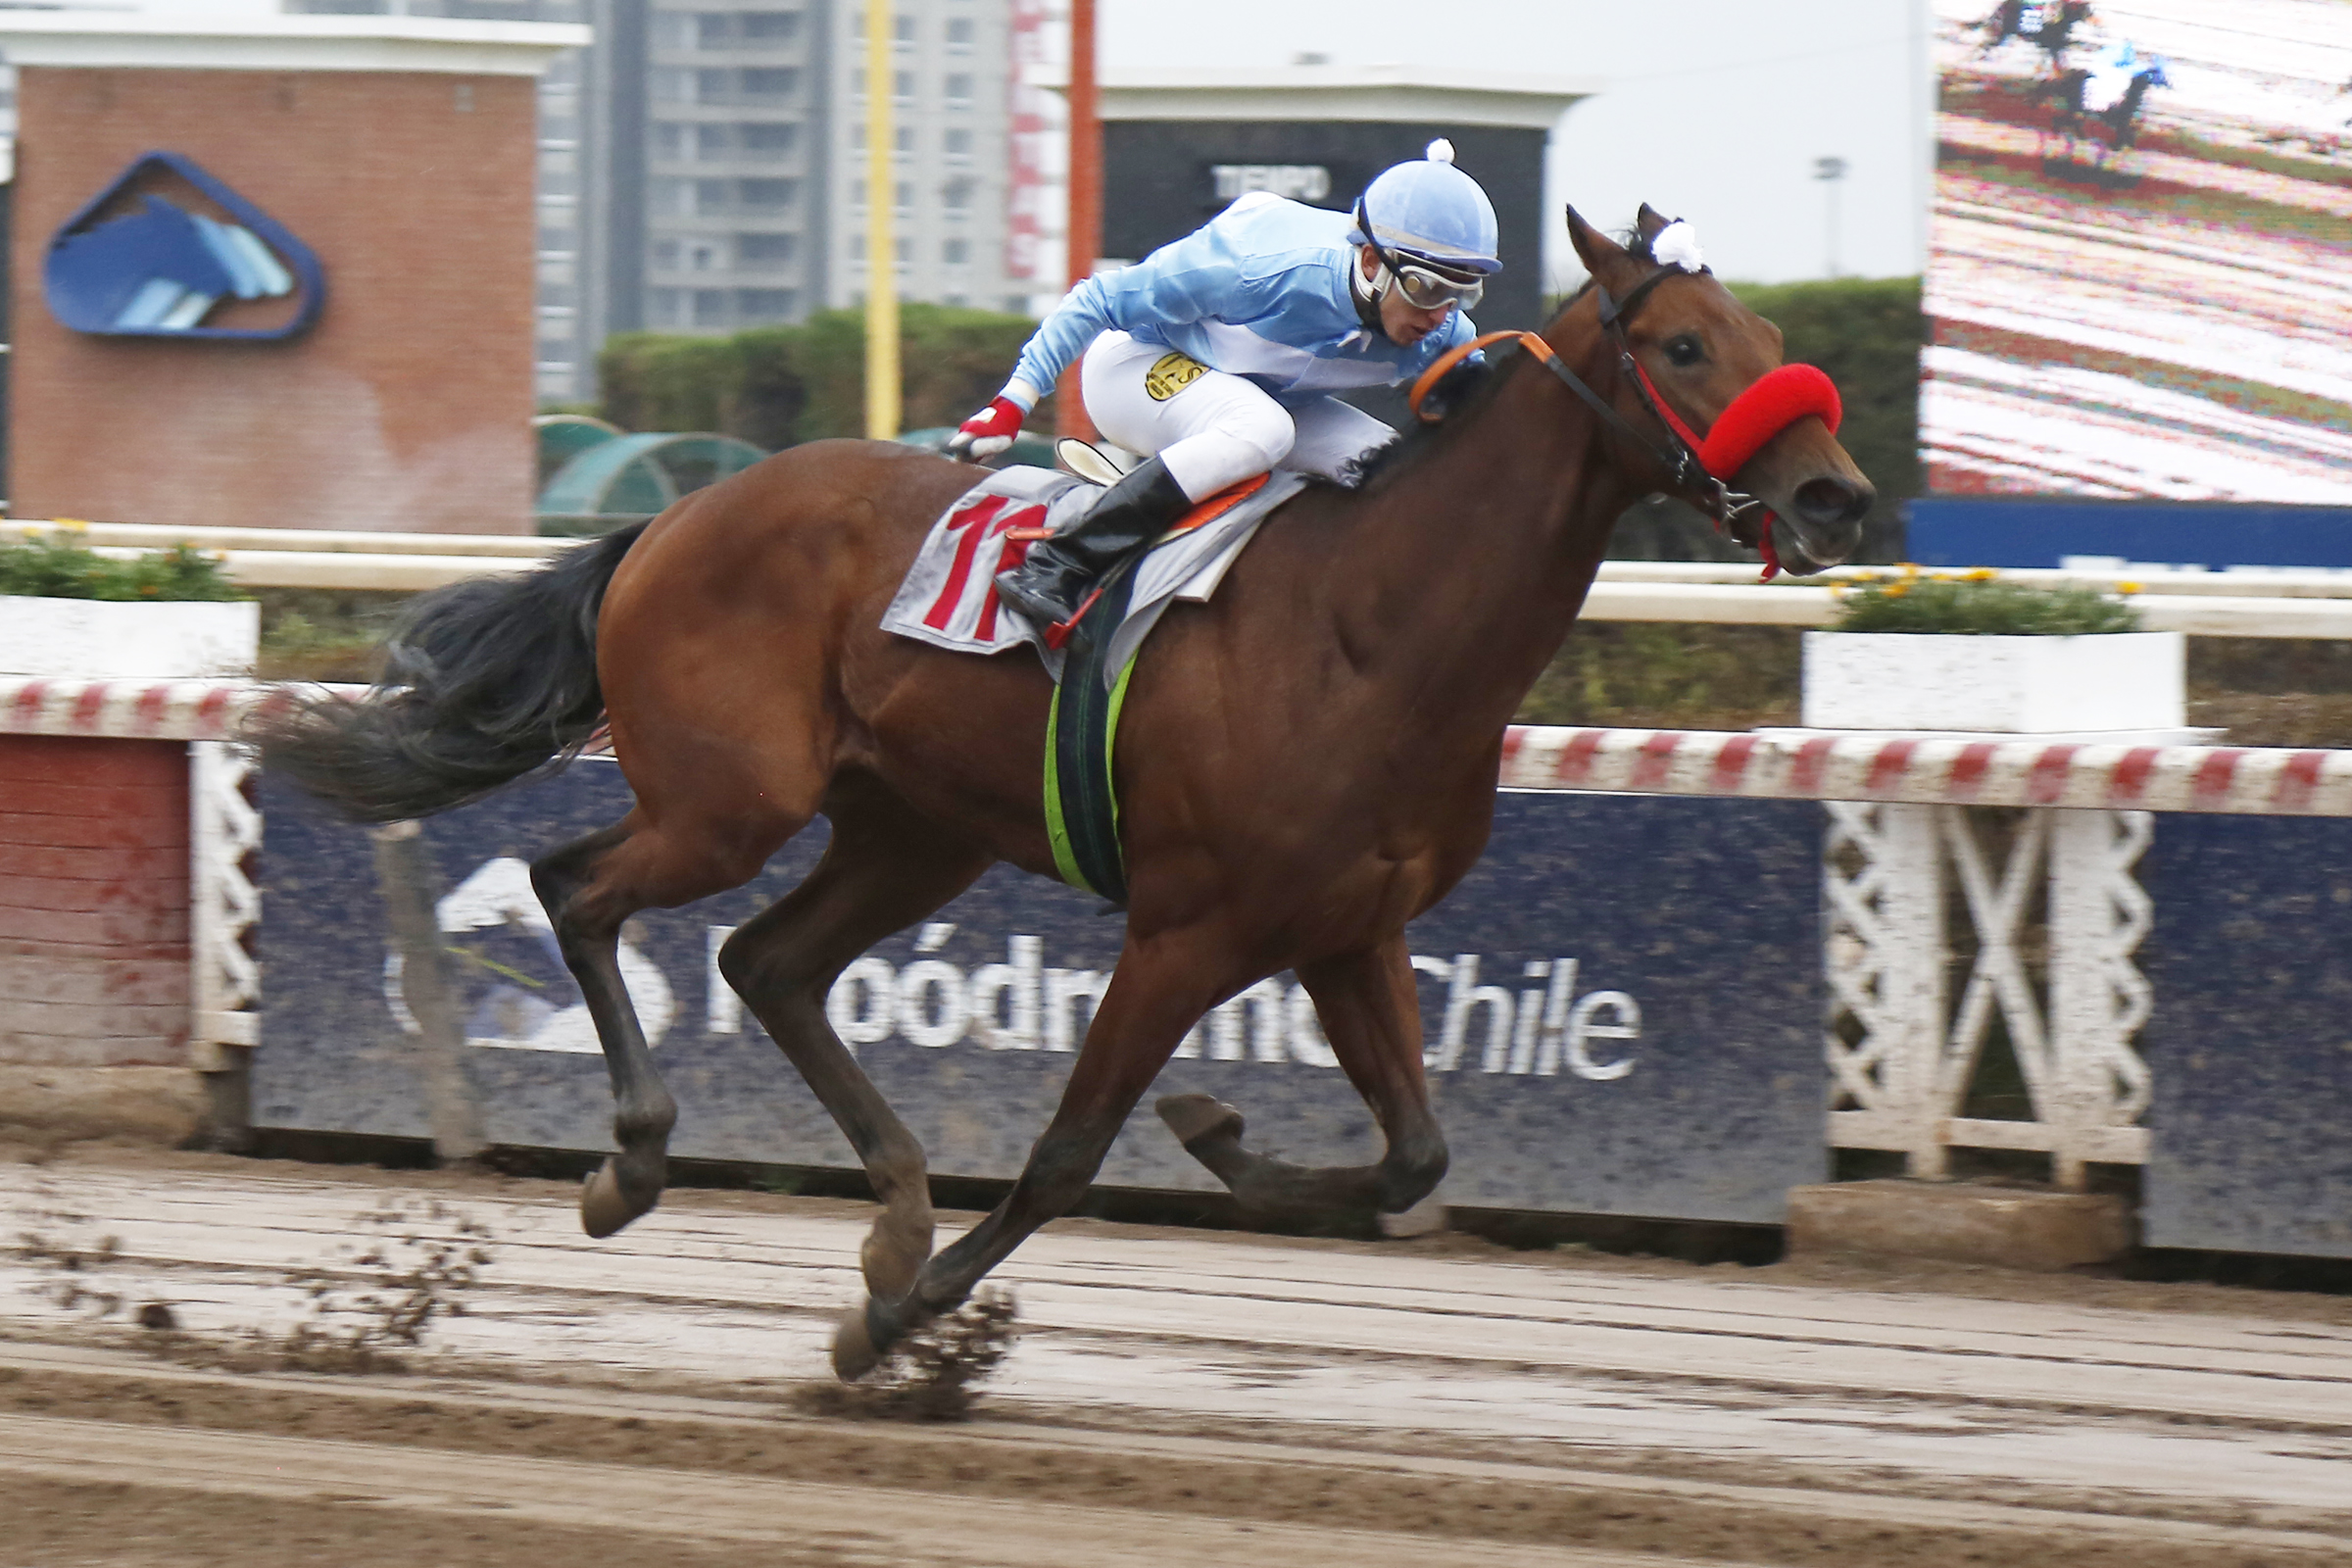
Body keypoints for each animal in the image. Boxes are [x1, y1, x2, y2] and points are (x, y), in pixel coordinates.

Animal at [256, 205, 1873, 1381]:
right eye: (1683, 343)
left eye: (1772, 334)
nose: (1836, 498)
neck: (1372, 629)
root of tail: (674, 514)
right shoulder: (1186, 930)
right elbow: (1067, 1154)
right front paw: (895, 1326)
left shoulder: (1350, 928)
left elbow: (1416, 1153)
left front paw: (1214, 1137)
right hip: (733, 800)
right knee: (574, 888)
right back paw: (637, 1165)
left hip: (912, 831)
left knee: (765, 961)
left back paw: (893, 1208)